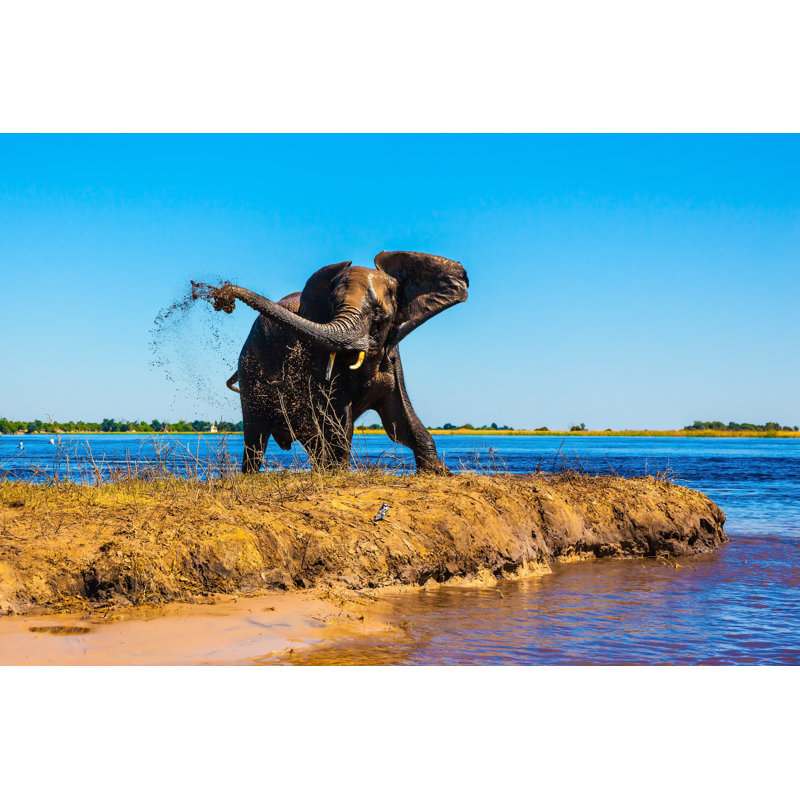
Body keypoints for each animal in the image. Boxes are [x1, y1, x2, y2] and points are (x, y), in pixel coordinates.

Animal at [194, 251, 468, 474]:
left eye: (378, 315)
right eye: (332, 307)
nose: (223, 296)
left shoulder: (392, 356)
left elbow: (399, 419)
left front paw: (439, 472)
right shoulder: (321, 358)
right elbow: (339, 418)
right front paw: (339, 473)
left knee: (310, 437)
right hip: (250, 369)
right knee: (256, 435)